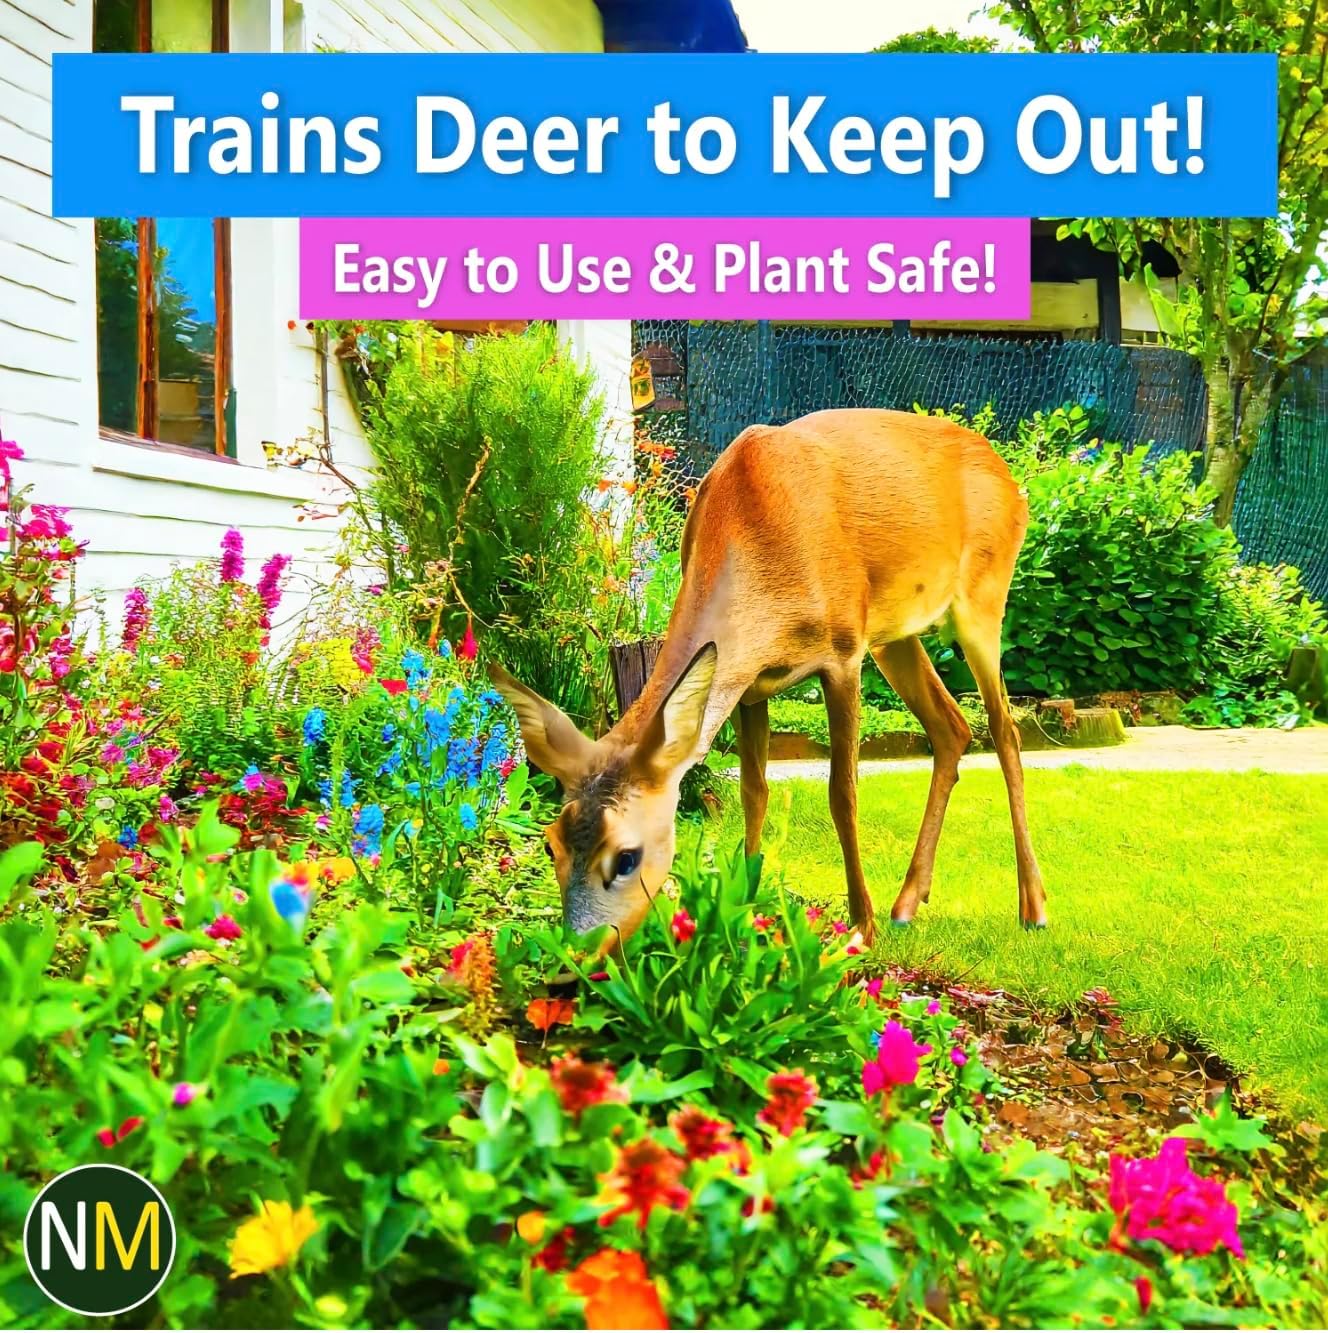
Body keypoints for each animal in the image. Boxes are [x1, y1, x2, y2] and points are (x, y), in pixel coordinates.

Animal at [490, 408, 1046, 948]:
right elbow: (752, 792)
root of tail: (1008, 477)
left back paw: (1032, 907)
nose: (577, 950)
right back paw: (908, 903)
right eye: (551, 844)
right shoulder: (748, 684)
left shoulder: (843, 654)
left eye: (626, 855)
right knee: (951, 726)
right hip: (894, 635)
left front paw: (859, 929)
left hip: (983, 597)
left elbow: (843, 793)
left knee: (1004, 729)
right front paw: (747, 903)